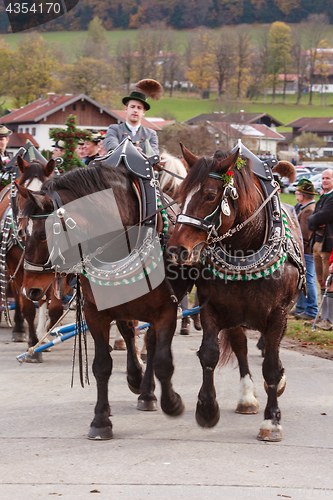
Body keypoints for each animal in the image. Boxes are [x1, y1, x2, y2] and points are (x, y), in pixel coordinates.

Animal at [20, 162, 192, 440]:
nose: (29, 290)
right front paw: (100, 419)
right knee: (130, 333)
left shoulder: (166, 309)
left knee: (150, 342)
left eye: (42, 235)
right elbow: (102, 365)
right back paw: (136, 379)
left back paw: (147, 392)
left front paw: (172, 402)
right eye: (23, 233)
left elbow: (163, 360)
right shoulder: (96, 312)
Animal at [169, 145, 304, 442]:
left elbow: (271, 366)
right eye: (181, 194)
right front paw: (207, 408)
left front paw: (271, 421)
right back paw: (247, 398)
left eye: (210, 195)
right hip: (236, 317)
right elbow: (210, 354)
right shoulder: (212, 307)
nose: (175, 249)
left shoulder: (278, 315)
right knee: (241, 348)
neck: (245, 248)